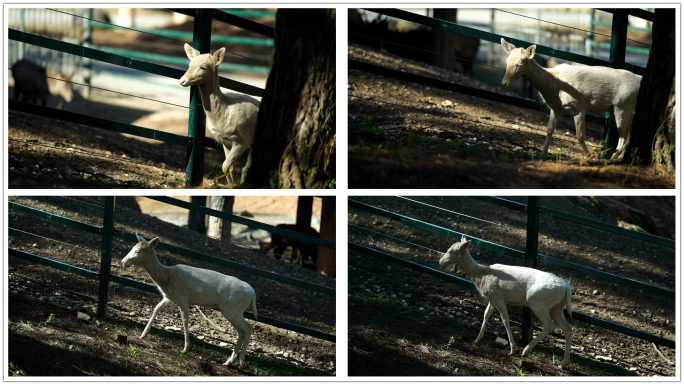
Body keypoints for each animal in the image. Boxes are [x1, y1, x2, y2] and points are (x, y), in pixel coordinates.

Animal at [121, 234, 258, 366]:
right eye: (132, 248)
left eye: (138, 251)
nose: (123, 261)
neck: (167, 279)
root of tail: (253, 293)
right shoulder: (170, 297)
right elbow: (156, 308)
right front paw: (143, 334)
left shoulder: (183, 297)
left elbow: (185, 320)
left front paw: (185, 349)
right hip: (233, 311)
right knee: (241, 332)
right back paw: (229, 361)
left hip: (232, 309)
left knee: (249, 328)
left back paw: (241, 361)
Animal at [179, 42, 260, 184]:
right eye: (189, 64)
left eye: (203, 67)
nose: (182, 80)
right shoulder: (225, 142)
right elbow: (229, 168)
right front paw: (231, 185)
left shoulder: (243, 140)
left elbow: (225, 165)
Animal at [438, 237, 572, 368]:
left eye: (450, 251)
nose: (440, 261)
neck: (481, 277)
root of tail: (567, 287)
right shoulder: (492, 298)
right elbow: (486, 314)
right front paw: (477, 339)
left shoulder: (499, 297)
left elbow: (505, 320)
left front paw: (513, 349)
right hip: (556, 307)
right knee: (567, 327)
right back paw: (563, 364)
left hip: (538, 303)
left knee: (550, 325)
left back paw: (526, 350)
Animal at [502, 38, 640, 160]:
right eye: (507, 61)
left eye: (519, 64)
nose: (504, 83)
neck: (554, 88)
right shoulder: (555, 108)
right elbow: (549, 130)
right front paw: (542, 153)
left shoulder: (579, 106)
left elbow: (580, 136)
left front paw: (589, 156)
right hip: (619, 108)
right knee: (627, 134)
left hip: (623, 105)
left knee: (624, 136)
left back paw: (613, 156)